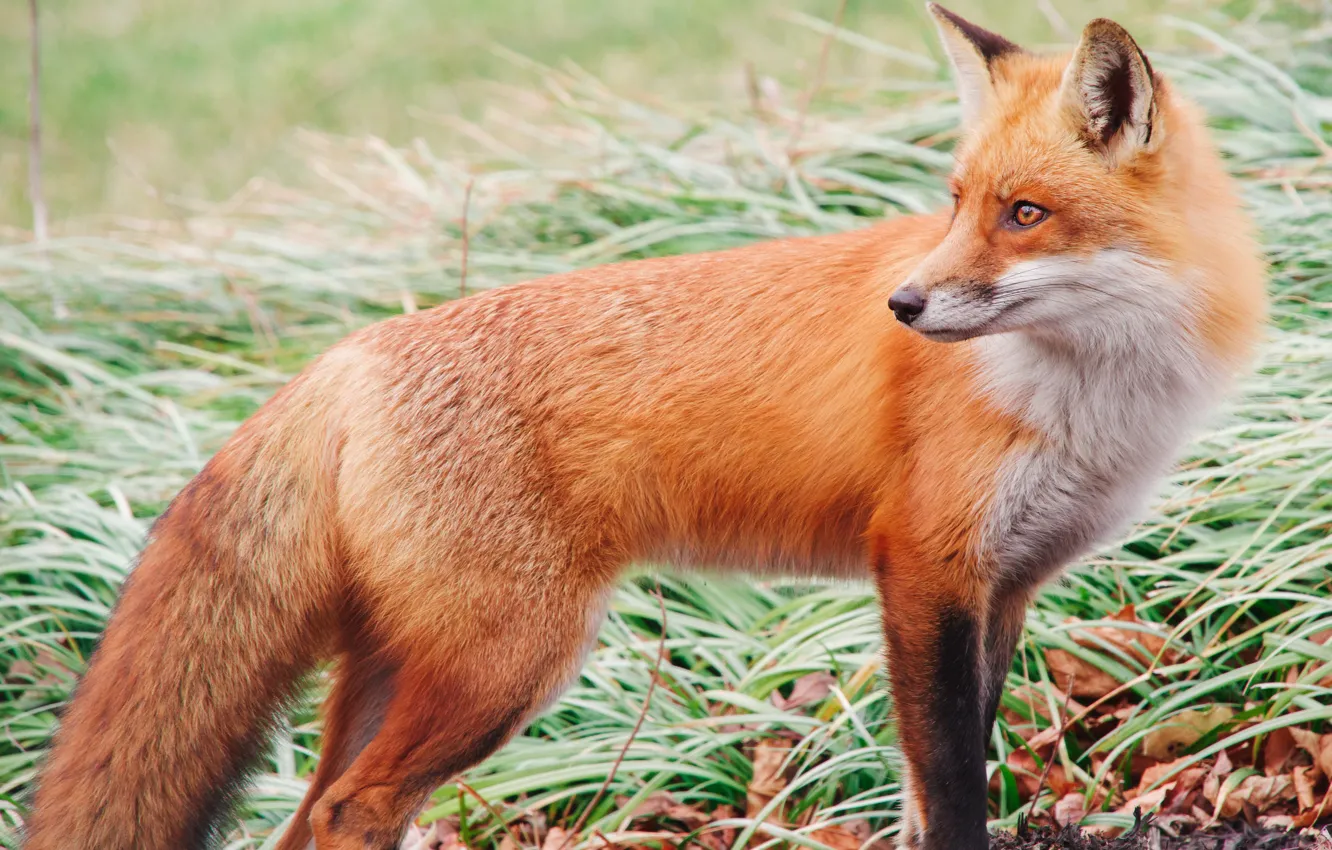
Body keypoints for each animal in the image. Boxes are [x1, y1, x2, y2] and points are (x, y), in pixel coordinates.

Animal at [23, 6, 1268, 850]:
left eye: (1023, 214)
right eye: (959, 204)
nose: (905, 305)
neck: (1087, 390)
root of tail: (351, 351)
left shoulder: (998, 589)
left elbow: (931, 783)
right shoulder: (923, 569)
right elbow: (953, 788)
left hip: (401, 665)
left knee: (314, 812)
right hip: (505, 663)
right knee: (348, 807)